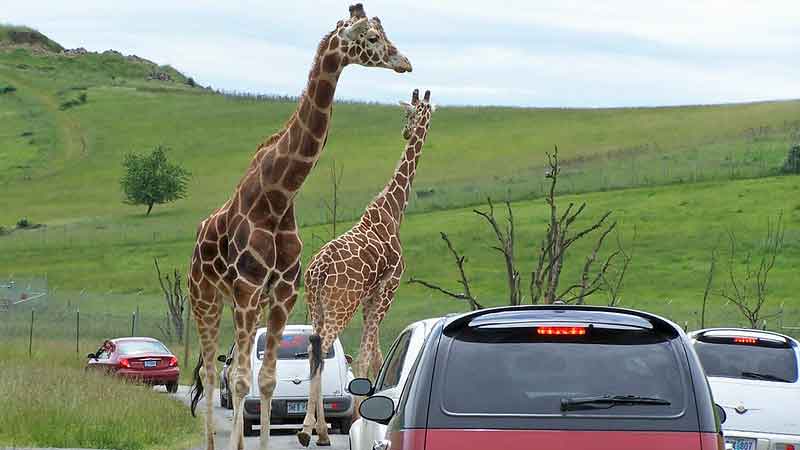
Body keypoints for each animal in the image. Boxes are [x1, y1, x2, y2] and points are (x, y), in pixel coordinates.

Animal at [187, 5, 412, 450]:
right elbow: (241, 381)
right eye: (372, 38)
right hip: (205, 296)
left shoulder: (282, 292)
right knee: (210, 370)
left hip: (241, 303)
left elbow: (267, 381)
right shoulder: (247, 288)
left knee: (230, 366)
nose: (405, 62)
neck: (277, 197)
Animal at [297, 89, 435, 447]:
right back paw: (308, 430)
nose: (406, 132)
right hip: (340, 305)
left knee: (313, 351)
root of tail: (316, 272)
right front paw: (364, 414)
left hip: (316, 305)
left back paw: (319, 431)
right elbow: (368, 355)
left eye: (411, 114)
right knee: (324, 351)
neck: (394, 210)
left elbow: (373, 354)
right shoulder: (388, 288)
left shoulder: (370, 297)